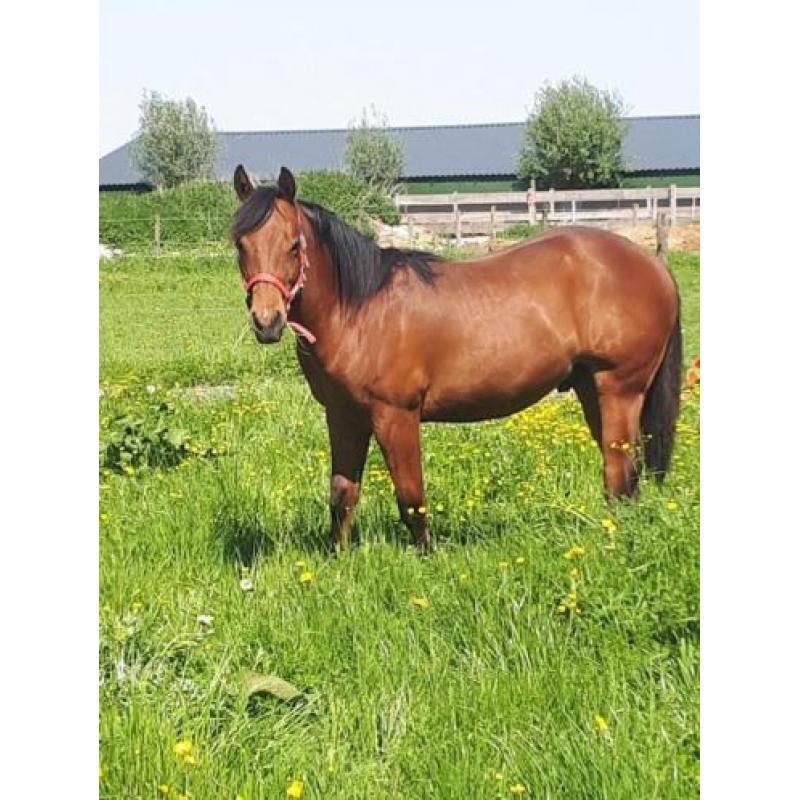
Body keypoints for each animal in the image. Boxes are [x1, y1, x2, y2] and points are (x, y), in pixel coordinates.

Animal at [230, 165, 682, 551]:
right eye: (240, 245)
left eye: (293, 245)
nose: (267, 321)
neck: (360, 311)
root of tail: (652, 264)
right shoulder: (343, 415)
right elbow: (342, 495)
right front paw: (337, 561)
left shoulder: (395, 415)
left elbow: (411, 499)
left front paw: (426, 559)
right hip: (591, 389)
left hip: (619, 389)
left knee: (619, 473)